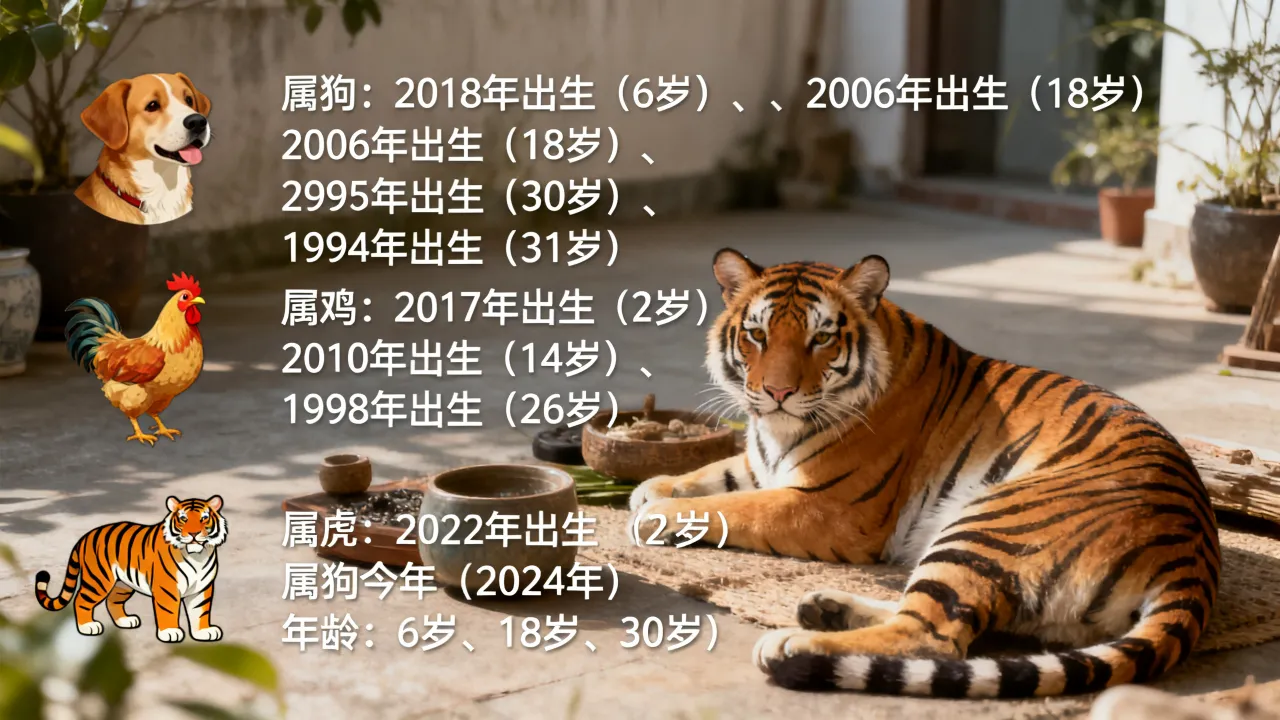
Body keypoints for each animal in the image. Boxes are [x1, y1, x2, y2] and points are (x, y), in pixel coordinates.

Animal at [34, 496, 227, 643]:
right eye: (183, 519)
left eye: (204, 518)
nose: (194, 534)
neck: (198, 555)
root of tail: (85, 537)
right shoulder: (167, 587)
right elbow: (169, 610)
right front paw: (170, 632)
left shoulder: (202, 587)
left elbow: (200, 611)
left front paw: (203, 632)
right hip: (99, 580)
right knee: (80, 599)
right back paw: (88, 626)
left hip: (122, 584)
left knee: (112, 601)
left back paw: (125, 621)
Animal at [628, 249, 1219, 699]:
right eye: (756, 334)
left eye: (821, 338)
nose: (777, 392)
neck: (777, 430)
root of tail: (1194, 556)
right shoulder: (763, 461)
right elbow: (718, 474)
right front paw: (649, 489)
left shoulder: (830, 507)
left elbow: (735, 507)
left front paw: (658, 513)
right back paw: (825, 608)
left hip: (989, 521)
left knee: (931, 636)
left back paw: (794, 643)